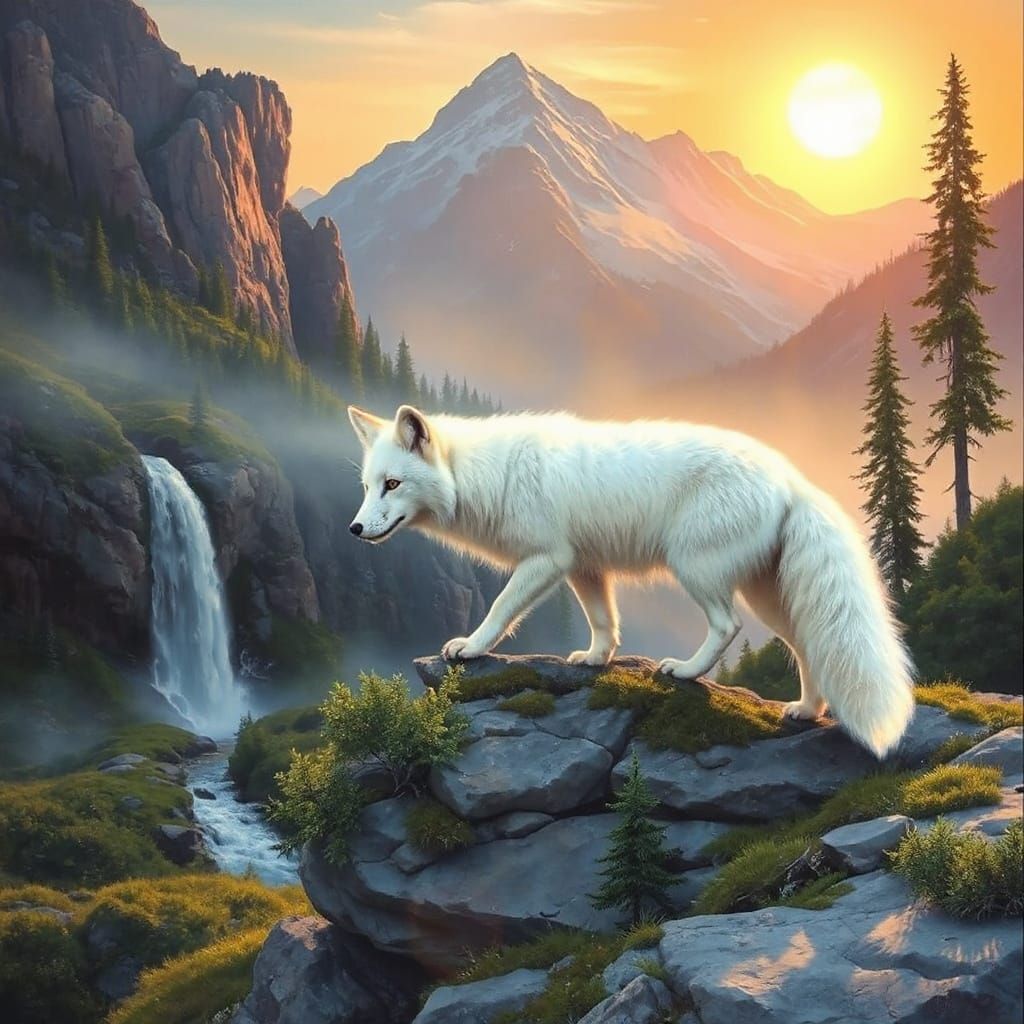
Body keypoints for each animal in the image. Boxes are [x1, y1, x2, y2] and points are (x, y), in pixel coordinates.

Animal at [347, 404, 915, 758]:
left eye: (393, 484)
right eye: (369, 487)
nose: (353, 530)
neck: (487, 475)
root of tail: (791, 478)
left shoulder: (545, 560)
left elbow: (500, 609)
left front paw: (470, 647)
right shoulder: (583, 566)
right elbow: (605, 621)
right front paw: (598, 660)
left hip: (695, 568)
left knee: (727, 627)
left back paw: (685, 671)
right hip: (766, 596)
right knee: (805, 644)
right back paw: (806, 710)